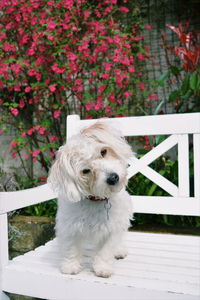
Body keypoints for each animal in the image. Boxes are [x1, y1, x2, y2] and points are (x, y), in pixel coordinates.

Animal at [47, 120, 134, 278]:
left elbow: (106, 250)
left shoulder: (112, 228)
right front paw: (70, 266)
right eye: (86, 171)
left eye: (103, 152)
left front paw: (102, 268)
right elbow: (71, 247)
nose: (113, 177)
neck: (96, 200)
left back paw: (119, 250)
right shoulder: (69, 225)